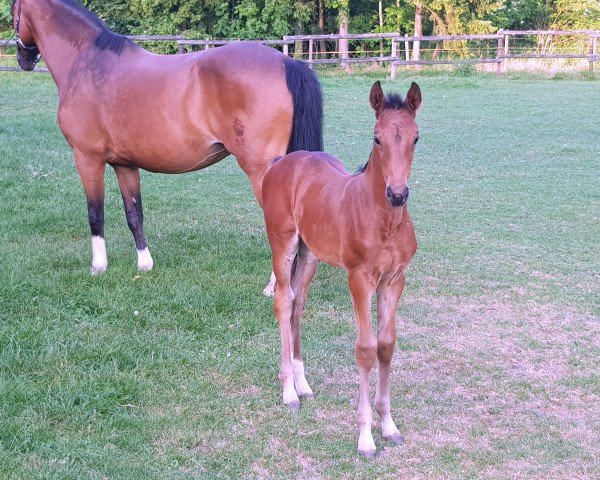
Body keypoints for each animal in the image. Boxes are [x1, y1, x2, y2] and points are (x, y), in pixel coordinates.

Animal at [262, 81, 422, 458]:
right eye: (377, 138)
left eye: (416, 137)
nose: (397, 194)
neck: (385, 220)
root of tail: (281, 162)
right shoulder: (359, 279)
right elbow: (365, 348)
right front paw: (365, 438)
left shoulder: (394, 280)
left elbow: (386, 344)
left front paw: (389, 426)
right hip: (283, 243)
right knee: (282, 301)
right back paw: (288, 392)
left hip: (309, 256)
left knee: (297, 305)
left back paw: (302, 384)